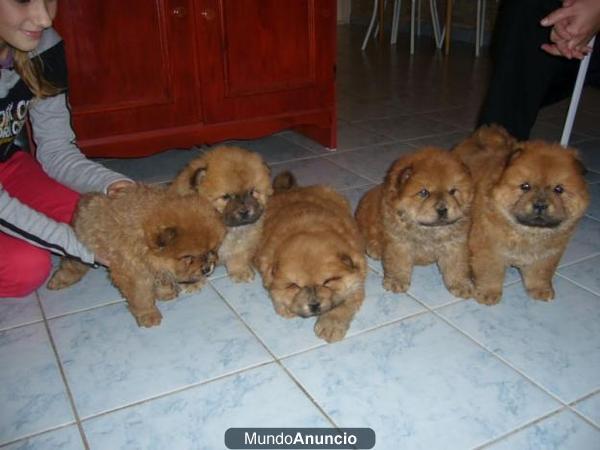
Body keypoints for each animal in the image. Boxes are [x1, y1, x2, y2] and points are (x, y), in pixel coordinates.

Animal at [169, 146, 272, 284]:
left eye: (252, 192)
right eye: (225, 197)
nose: (244, 211)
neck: (228, 230)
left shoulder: (244, 242)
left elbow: (238, 257)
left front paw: (240, 272)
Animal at [252, 171, 366, 342]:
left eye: (328, 281)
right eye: (294, 285)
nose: (314, 305)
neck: (309, 229)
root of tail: (290, 189)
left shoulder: (356, 281)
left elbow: (342, 304)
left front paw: (330, 326)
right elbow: (275, 292)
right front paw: (286, 307)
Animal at [354, 146, 476, 298]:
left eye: (453, 191)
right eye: (424, 193)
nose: (442, 209)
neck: (429, 230)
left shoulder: (455, 244)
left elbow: (457, 265)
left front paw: (461, 285)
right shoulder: (400, 242)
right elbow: (398, 263)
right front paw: (396, 282)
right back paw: (375, 249)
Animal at [452, 125, 588, 304]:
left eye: (559, 189)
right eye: (525, 186)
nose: (540, 204)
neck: (530, 232)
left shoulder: (548, 255)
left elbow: (540, 274)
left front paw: (541, 291)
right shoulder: (489, 249)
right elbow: (490, 274)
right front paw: (488, 294)